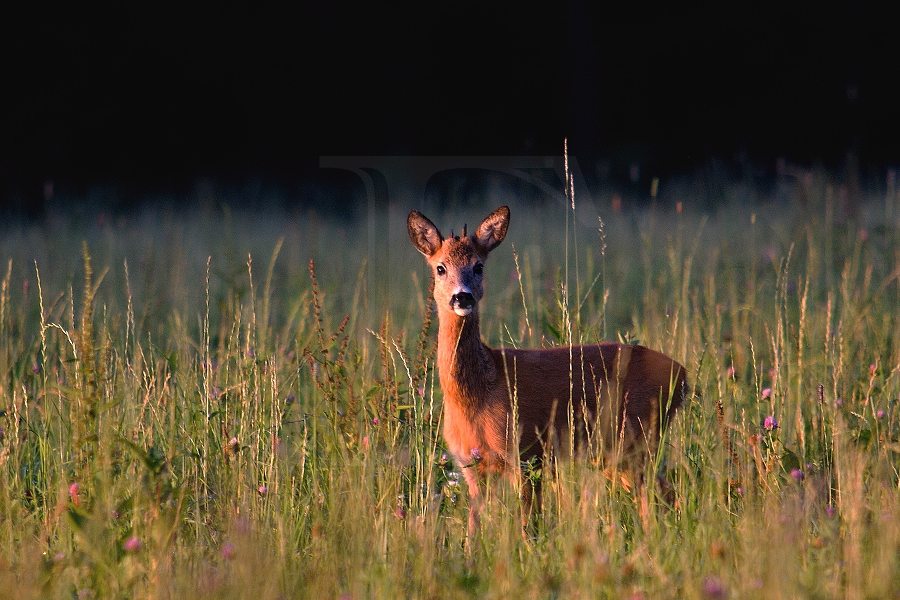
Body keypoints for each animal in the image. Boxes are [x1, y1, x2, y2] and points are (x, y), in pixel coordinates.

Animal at [407, 205, 687, 540]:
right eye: (440, 267)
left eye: (478, 266)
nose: (462, 297)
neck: (479, 393)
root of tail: (683, 376)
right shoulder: (471, 468)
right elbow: (472, 533)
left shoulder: (527, 453)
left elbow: (530, 527)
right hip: (617, 453)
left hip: (635, 441)